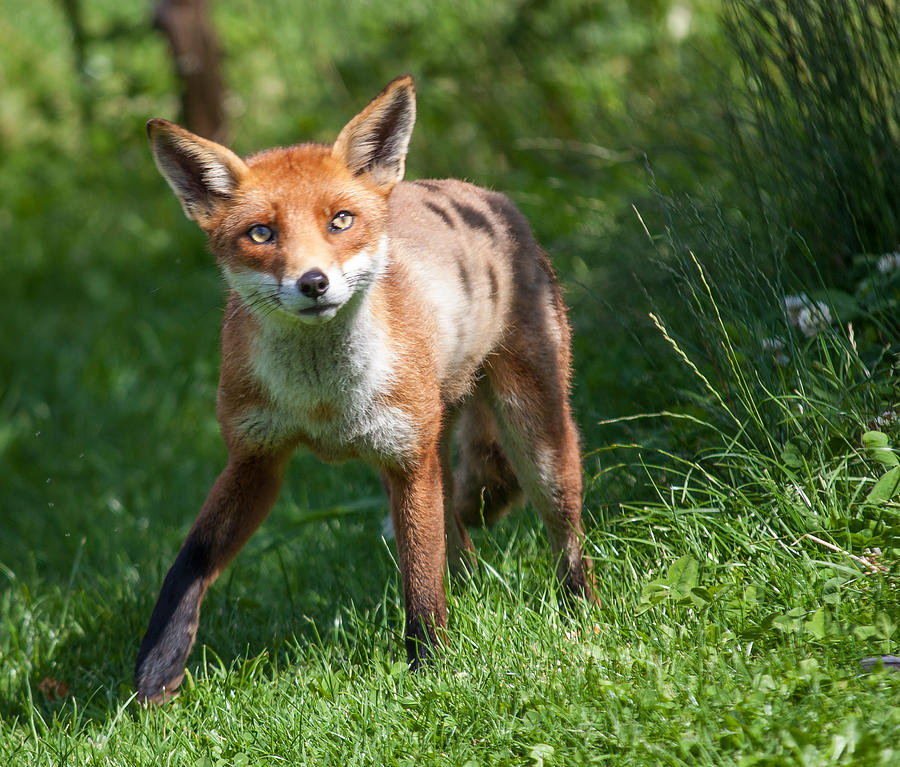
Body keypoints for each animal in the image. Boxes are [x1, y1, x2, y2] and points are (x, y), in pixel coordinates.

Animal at [135, 76, 592, 704]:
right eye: (262, 233)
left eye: (341, 221)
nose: (313, 282)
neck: (323, 400)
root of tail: (483, 195)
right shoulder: (256, 458)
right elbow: (191, 559)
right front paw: (159, 666)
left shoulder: (406, 464)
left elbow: (420, 585)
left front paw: (430, 674)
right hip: (423, 450)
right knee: (458, 541)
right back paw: (474, 595)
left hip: (533, 438)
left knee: (562, 534)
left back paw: (583, 617)